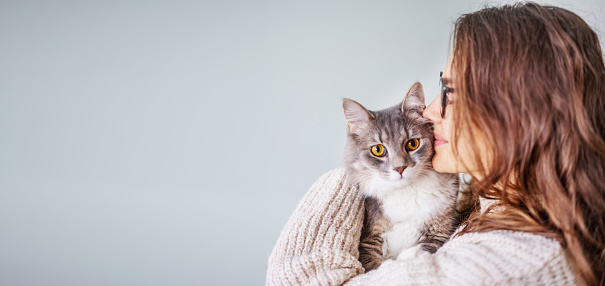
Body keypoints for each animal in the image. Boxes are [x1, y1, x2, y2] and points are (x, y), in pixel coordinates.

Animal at [342, 81, 460, 272]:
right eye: (378, 150)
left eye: (413, 144)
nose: (400, 168)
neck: (405, 191)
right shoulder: (368, 239)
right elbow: (372, 266)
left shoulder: (441, 228)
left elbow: (424, 247)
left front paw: (408, 258)